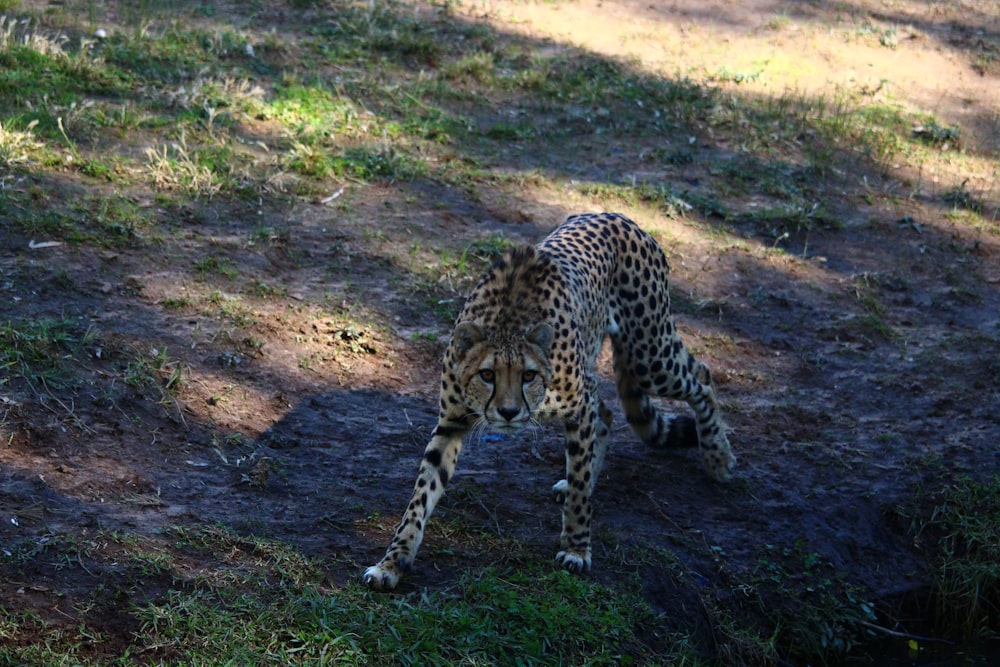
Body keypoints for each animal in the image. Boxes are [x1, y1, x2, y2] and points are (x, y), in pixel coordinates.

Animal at [364, 213, 740, 588]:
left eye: (528, 375)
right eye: (487, 374)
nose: (509, 412)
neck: (508, 320)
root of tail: (617, 216)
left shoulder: (578, 408)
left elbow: (579, 491)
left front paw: (576, 547)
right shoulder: (451, 422)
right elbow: (421, 495)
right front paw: (392, 562)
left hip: (648, 356)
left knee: (702, 378)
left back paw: (718, 457)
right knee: (610, 412)